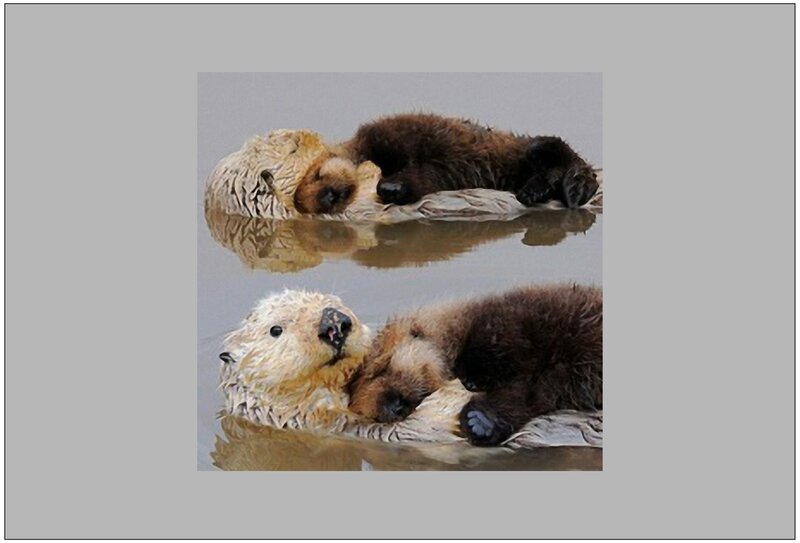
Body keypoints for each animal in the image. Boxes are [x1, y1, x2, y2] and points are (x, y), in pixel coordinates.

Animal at [347, 285, 603, 446]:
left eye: (382, 369)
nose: (392, 407)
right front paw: (480, 422)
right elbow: (525, 396)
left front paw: (473, 386)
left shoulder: (507, 321)